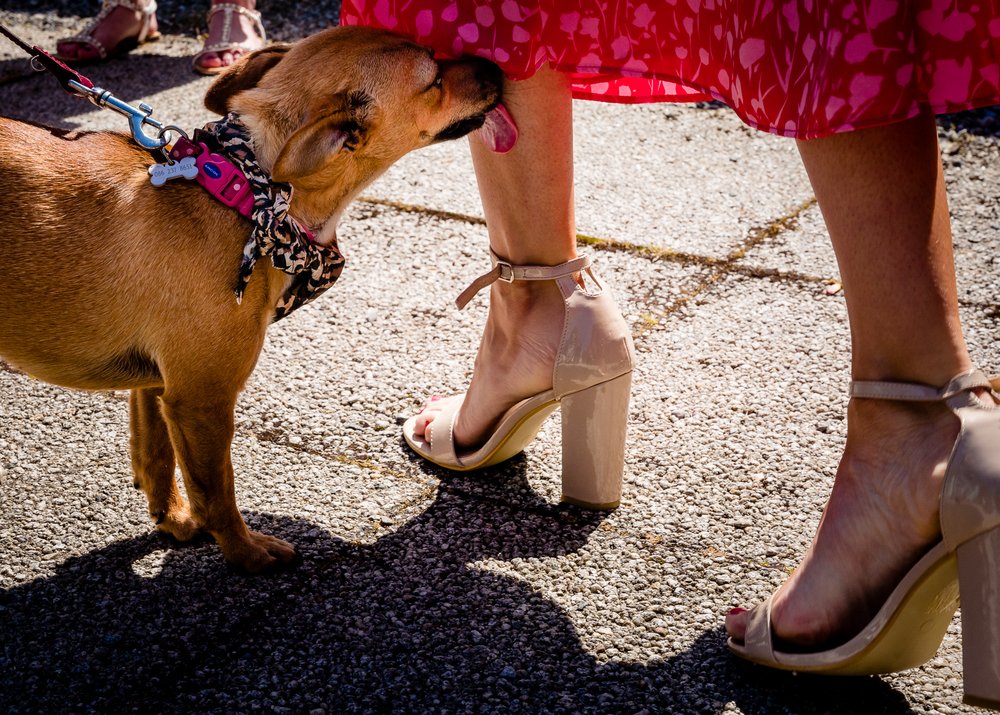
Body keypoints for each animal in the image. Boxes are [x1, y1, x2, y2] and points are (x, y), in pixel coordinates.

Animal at [0, 28, 504, 572]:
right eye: (434, 80)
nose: (499, 68)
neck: (242, 190)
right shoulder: (201, 401)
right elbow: (217, 490)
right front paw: (246, 553)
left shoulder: (156, 386)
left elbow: (156, 455)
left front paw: (172, 519)